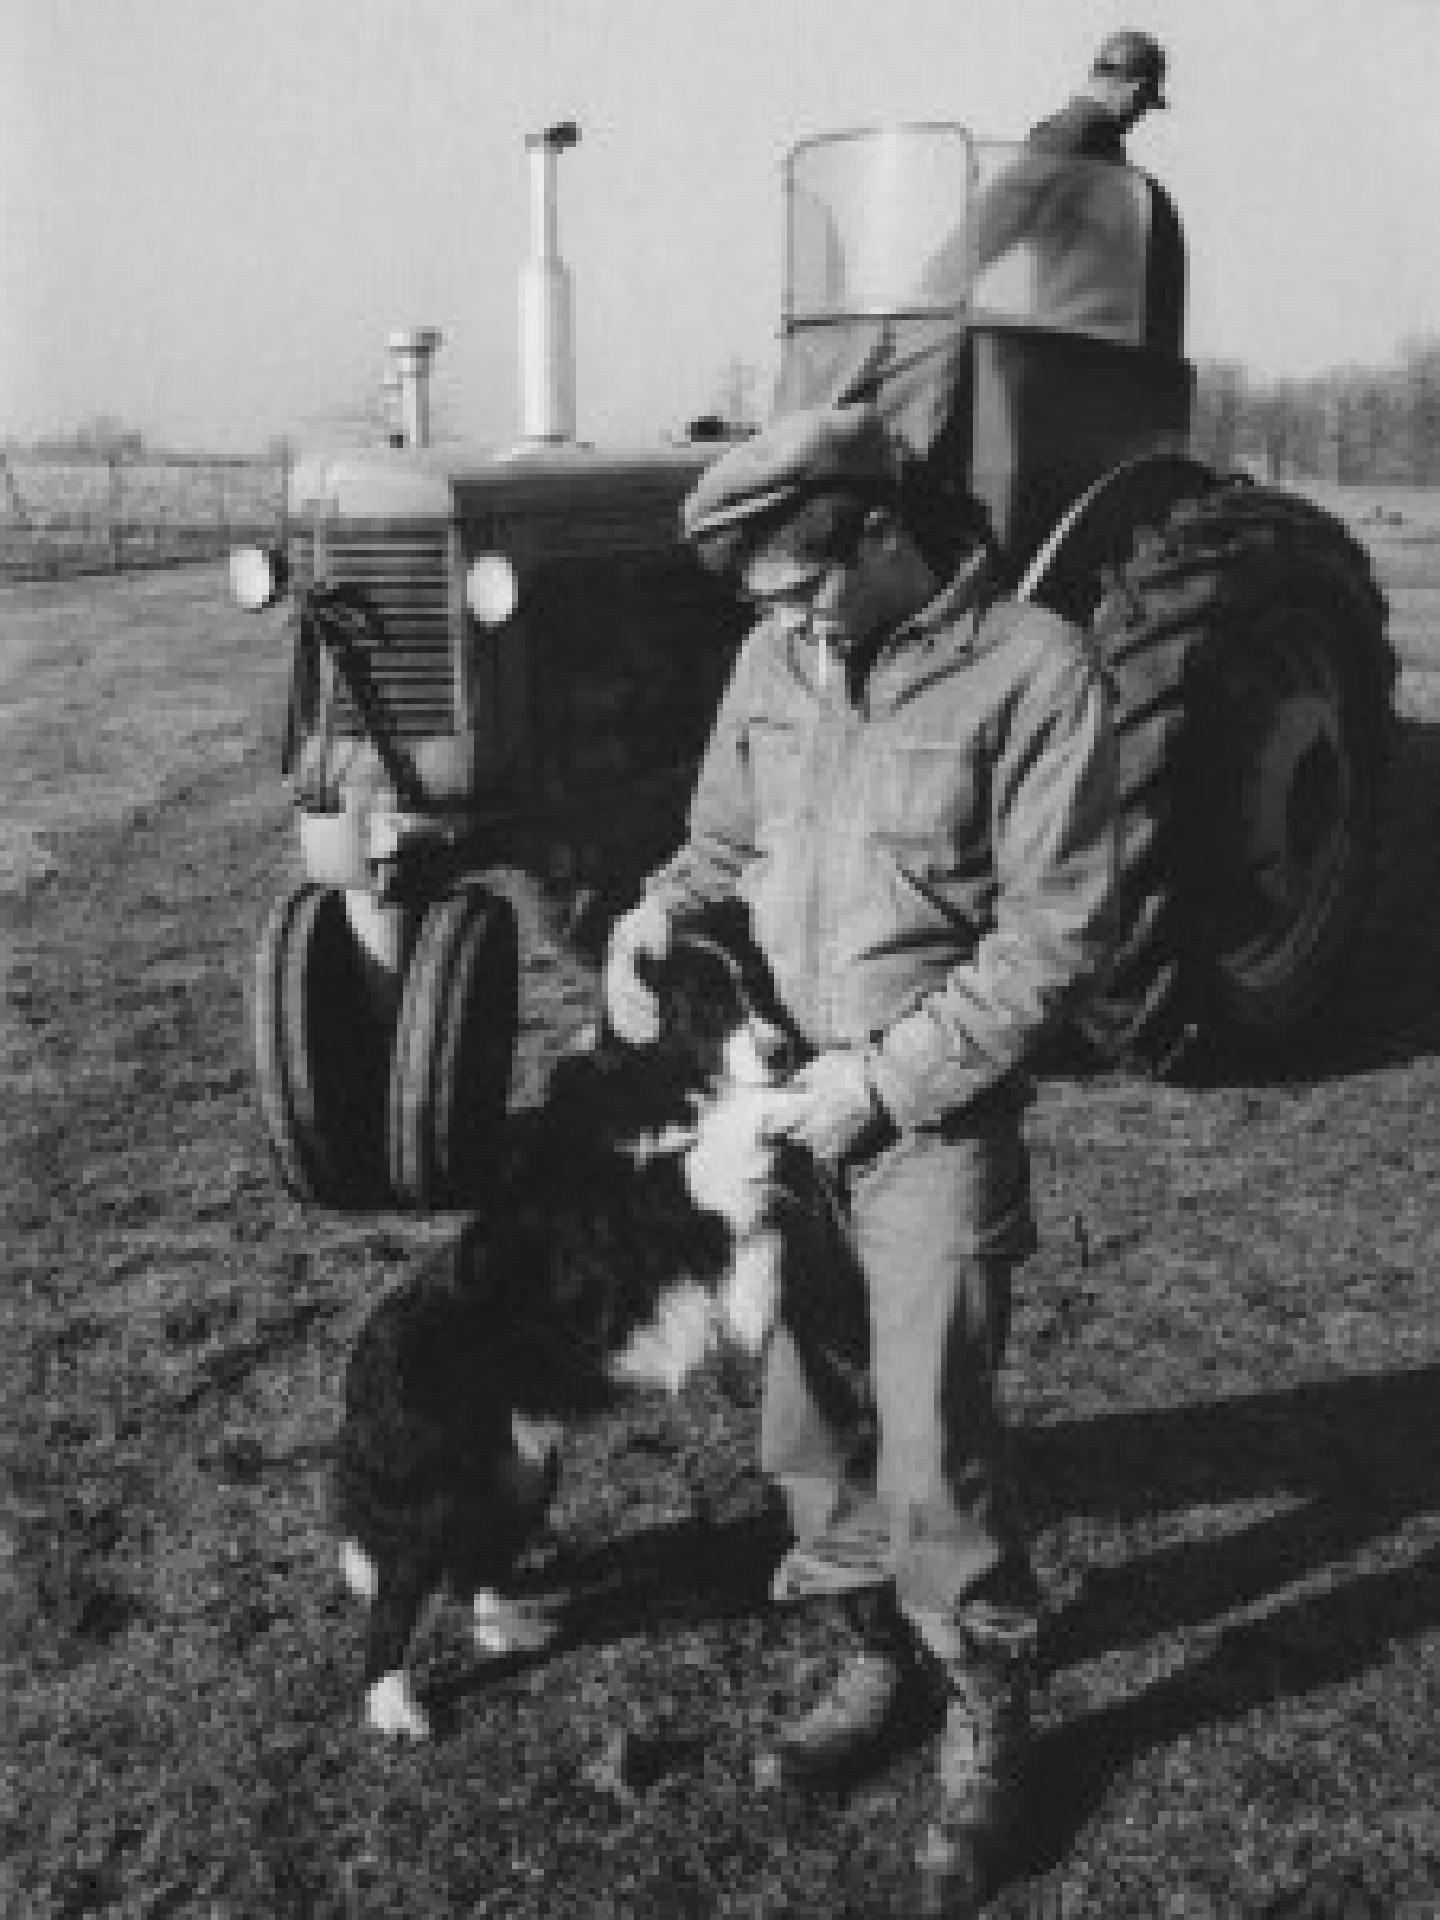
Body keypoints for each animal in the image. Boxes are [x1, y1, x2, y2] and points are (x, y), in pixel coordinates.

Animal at [332, 929, 844, 1743]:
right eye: (710, 1002)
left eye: (760, 987)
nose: (783, 1048)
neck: (662, 1083)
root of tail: (358, 1382)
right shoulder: (640, 1201)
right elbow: (722, 1146)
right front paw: (800, 1095)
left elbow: (758, 1228)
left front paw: (755, 1305)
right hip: (434, 1492)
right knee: (397, 1598)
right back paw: (395, 1707)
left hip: (519, 1472)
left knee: (472, 1567)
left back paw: (511, 1628)